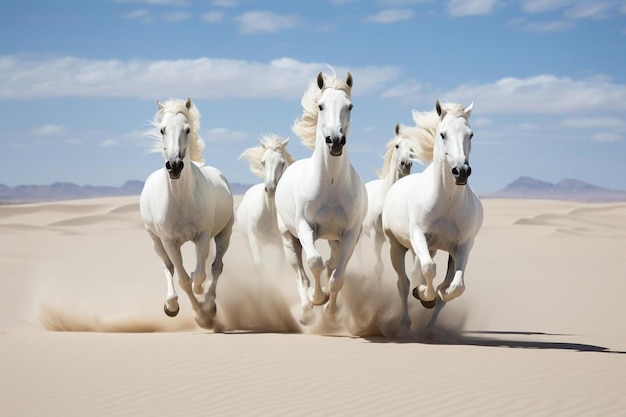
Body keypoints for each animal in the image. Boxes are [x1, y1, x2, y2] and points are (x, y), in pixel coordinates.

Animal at [138, 97, 233, 328]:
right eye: (162, 129)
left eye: (187, 129)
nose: (174, 166)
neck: (180, 200)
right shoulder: (169, 241)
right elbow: (182, 279)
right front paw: (197, 313)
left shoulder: (203, 236)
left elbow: (198, 276)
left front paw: (203, 309)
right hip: (156, 241)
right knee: (169, 268)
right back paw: (171, 305)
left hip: (224, 234)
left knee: (216, 268)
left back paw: (209, 302)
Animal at [236, 132, 294, 264]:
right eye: (263, 162)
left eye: (282, 163)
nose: (270, 188)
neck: (269, 213)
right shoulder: (254, 241)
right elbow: (258, 264)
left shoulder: (281, 245)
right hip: (246, 241)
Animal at [272, 70, 366, 324]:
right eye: (321, 105)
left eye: (350, 106)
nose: (335, 140)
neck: (331, 185)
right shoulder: (306, 227)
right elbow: (314, 263)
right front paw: (317, 299)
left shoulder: (350, 234)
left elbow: (337, 277)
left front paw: (331, 311)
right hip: (289, 239)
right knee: (301, 275)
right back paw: (305, 311)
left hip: (336, 240)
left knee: (331, 264)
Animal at [380, 100, 482, 332]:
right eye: (442, 134)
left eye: (470, 134)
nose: (461, 171)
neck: (447, 202)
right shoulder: (419, 236)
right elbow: (429, 270)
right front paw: (424, 295)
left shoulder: (464, 246)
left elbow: (456, 286)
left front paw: (440, 292)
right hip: (396, 246)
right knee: (403, 283)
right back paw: (406, 322)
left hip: (434, 249)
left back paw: (429, 326)